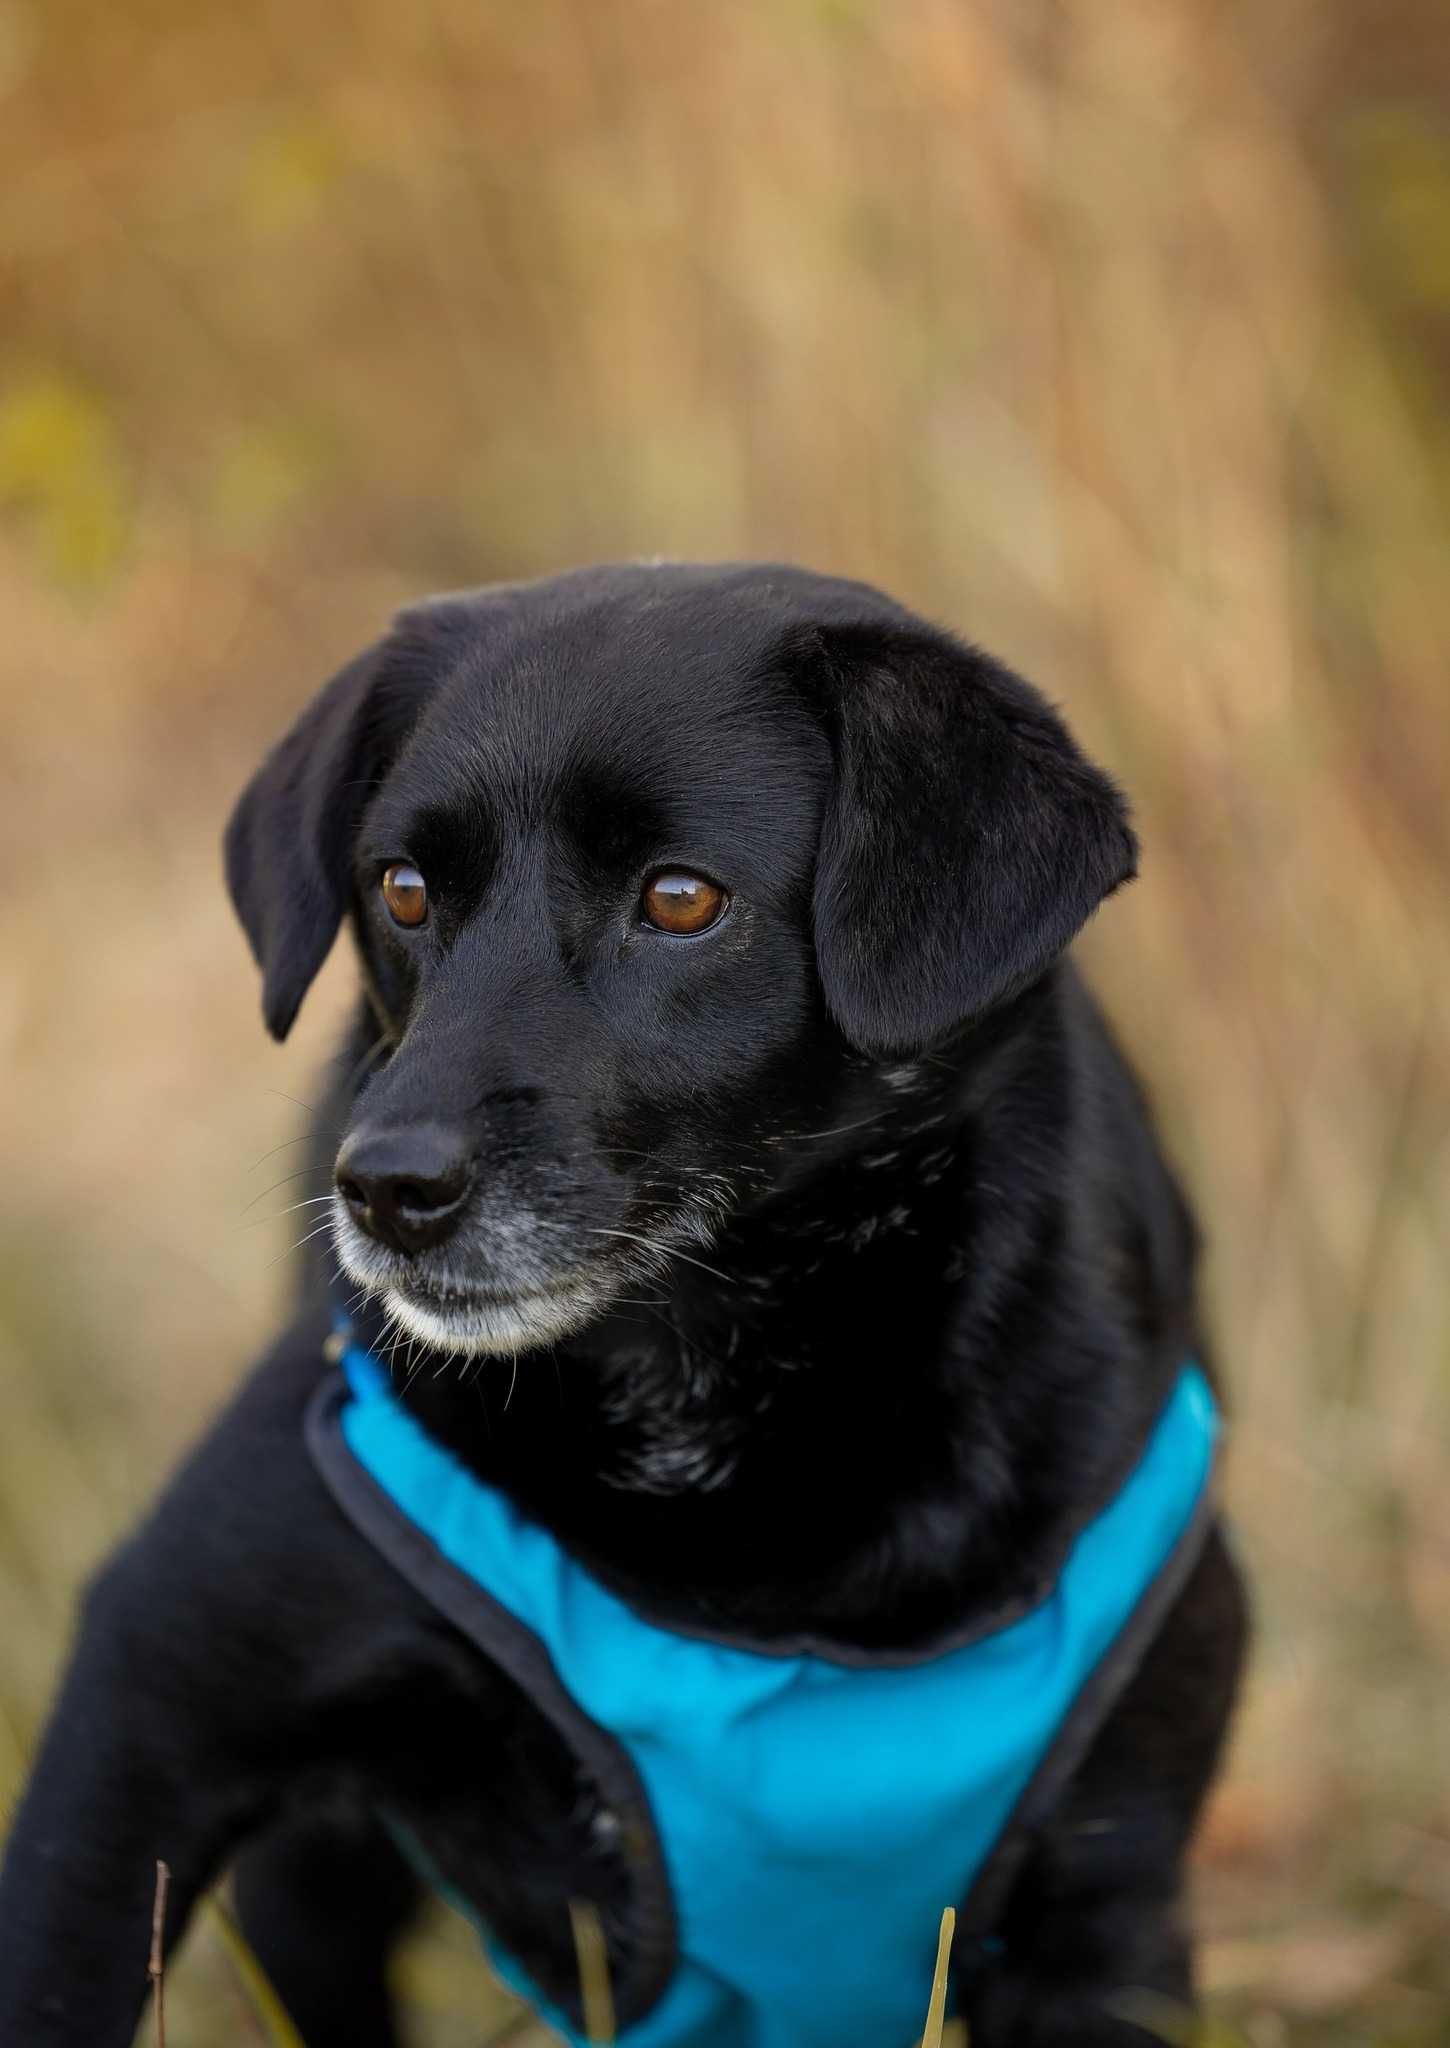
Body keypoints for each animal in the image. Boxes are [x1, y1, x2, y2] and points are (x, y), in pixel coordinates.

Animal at [0, 565, 1245, 2048]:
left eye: (681, 899)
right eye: (401, 889)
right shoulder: (149, 1706)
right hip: (324, 1873)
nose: (387, 1187)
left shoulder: (1110, 1908)